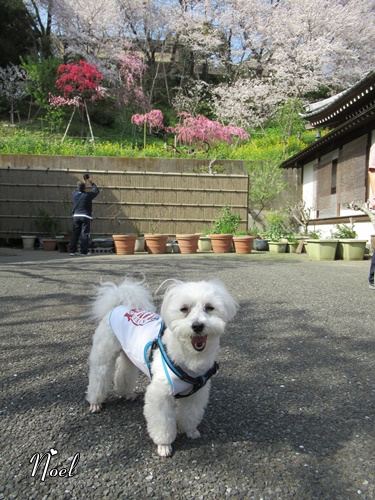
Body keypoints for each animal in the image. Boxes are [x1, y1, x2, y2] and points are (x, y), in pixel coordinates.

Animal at [86, 278, 238, 458]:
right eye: (184, 309)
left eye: (209, 307)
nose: (197, 326)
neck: (188, 356)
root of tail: (118, 305)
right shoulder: (160, 394)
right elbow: (162, 423)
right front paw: (164, 445)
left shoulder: (197, 393)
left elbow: (190, 414)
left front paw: (190, 430)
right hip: (104, 354)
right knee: (98, 377)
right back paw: (95, 403)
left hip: (129, 354)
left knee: (125, 372)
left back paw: (127, 393)